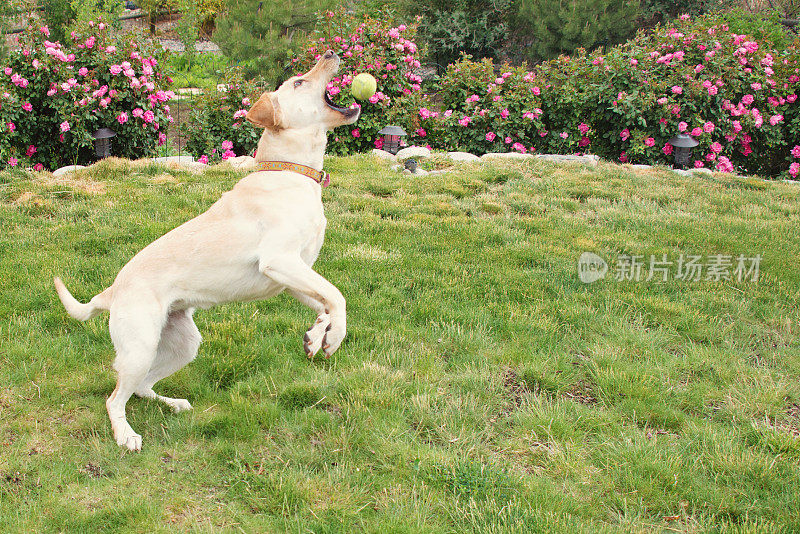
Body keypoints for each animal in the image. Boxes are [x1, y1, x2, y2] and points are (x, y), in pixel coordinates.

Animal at [53, 51, 360, 452]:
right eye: (298, 82)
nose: (330, 54)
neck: (290, 173)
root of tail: (111, 292)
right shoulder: (279, 262)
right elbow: (337, 297)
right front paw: (333, 338)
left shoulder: (293, 274)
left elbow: (327, 302)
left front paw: (316, 337)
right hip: (140, 347)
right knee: (116, 397)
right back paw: (126, 435)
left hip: (184, 345)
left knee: (142, 389)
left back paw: (172, 403)